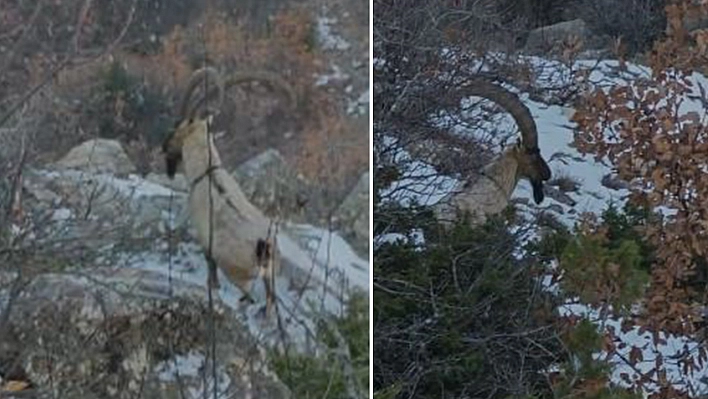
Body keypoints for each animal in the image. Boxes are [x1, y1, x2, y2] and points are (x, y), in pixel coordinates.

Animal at [162, 66, 294, 316]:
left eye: (177, 129)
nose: (165, 149)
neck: (206, 172)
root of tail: (263, 247)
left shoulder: (205, 239)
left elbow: (210, 265)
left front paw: (211, 287)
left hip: (239, 276)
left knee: (249, 297)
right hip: (270, 276)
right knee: (270, 301)